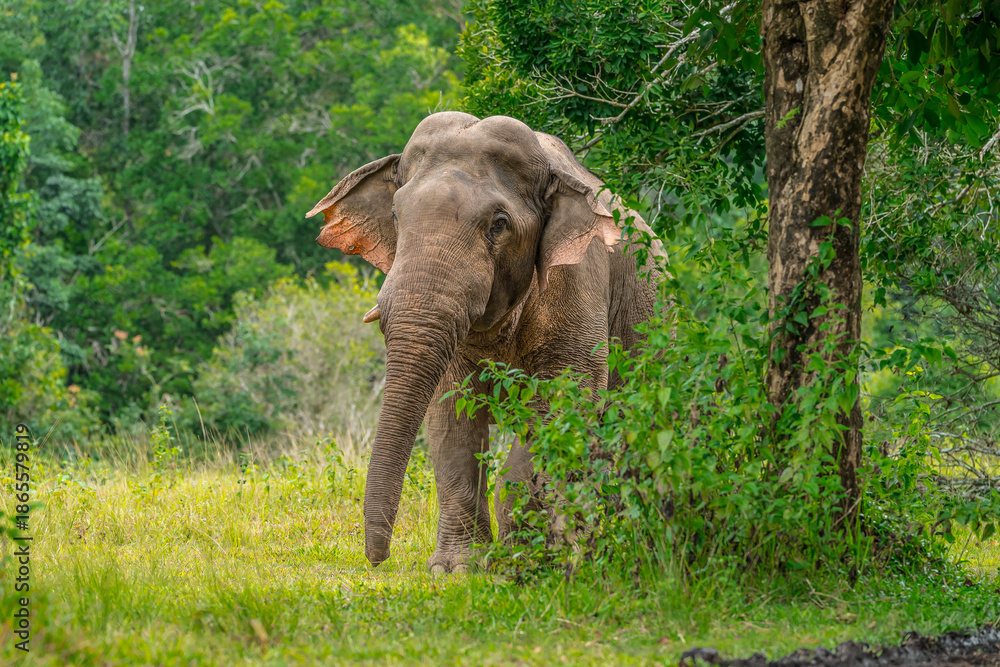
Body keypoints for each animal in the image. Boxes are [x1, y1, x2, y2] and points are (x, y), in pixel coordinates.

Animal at [306, 112, 663, 572]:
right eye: (396, 215)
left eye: (499, 224)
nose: (376, 559)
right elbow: (451, 415)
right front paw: (458, 568)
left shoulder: (578, 277)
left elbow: (567, 398)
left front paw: (520, 560)